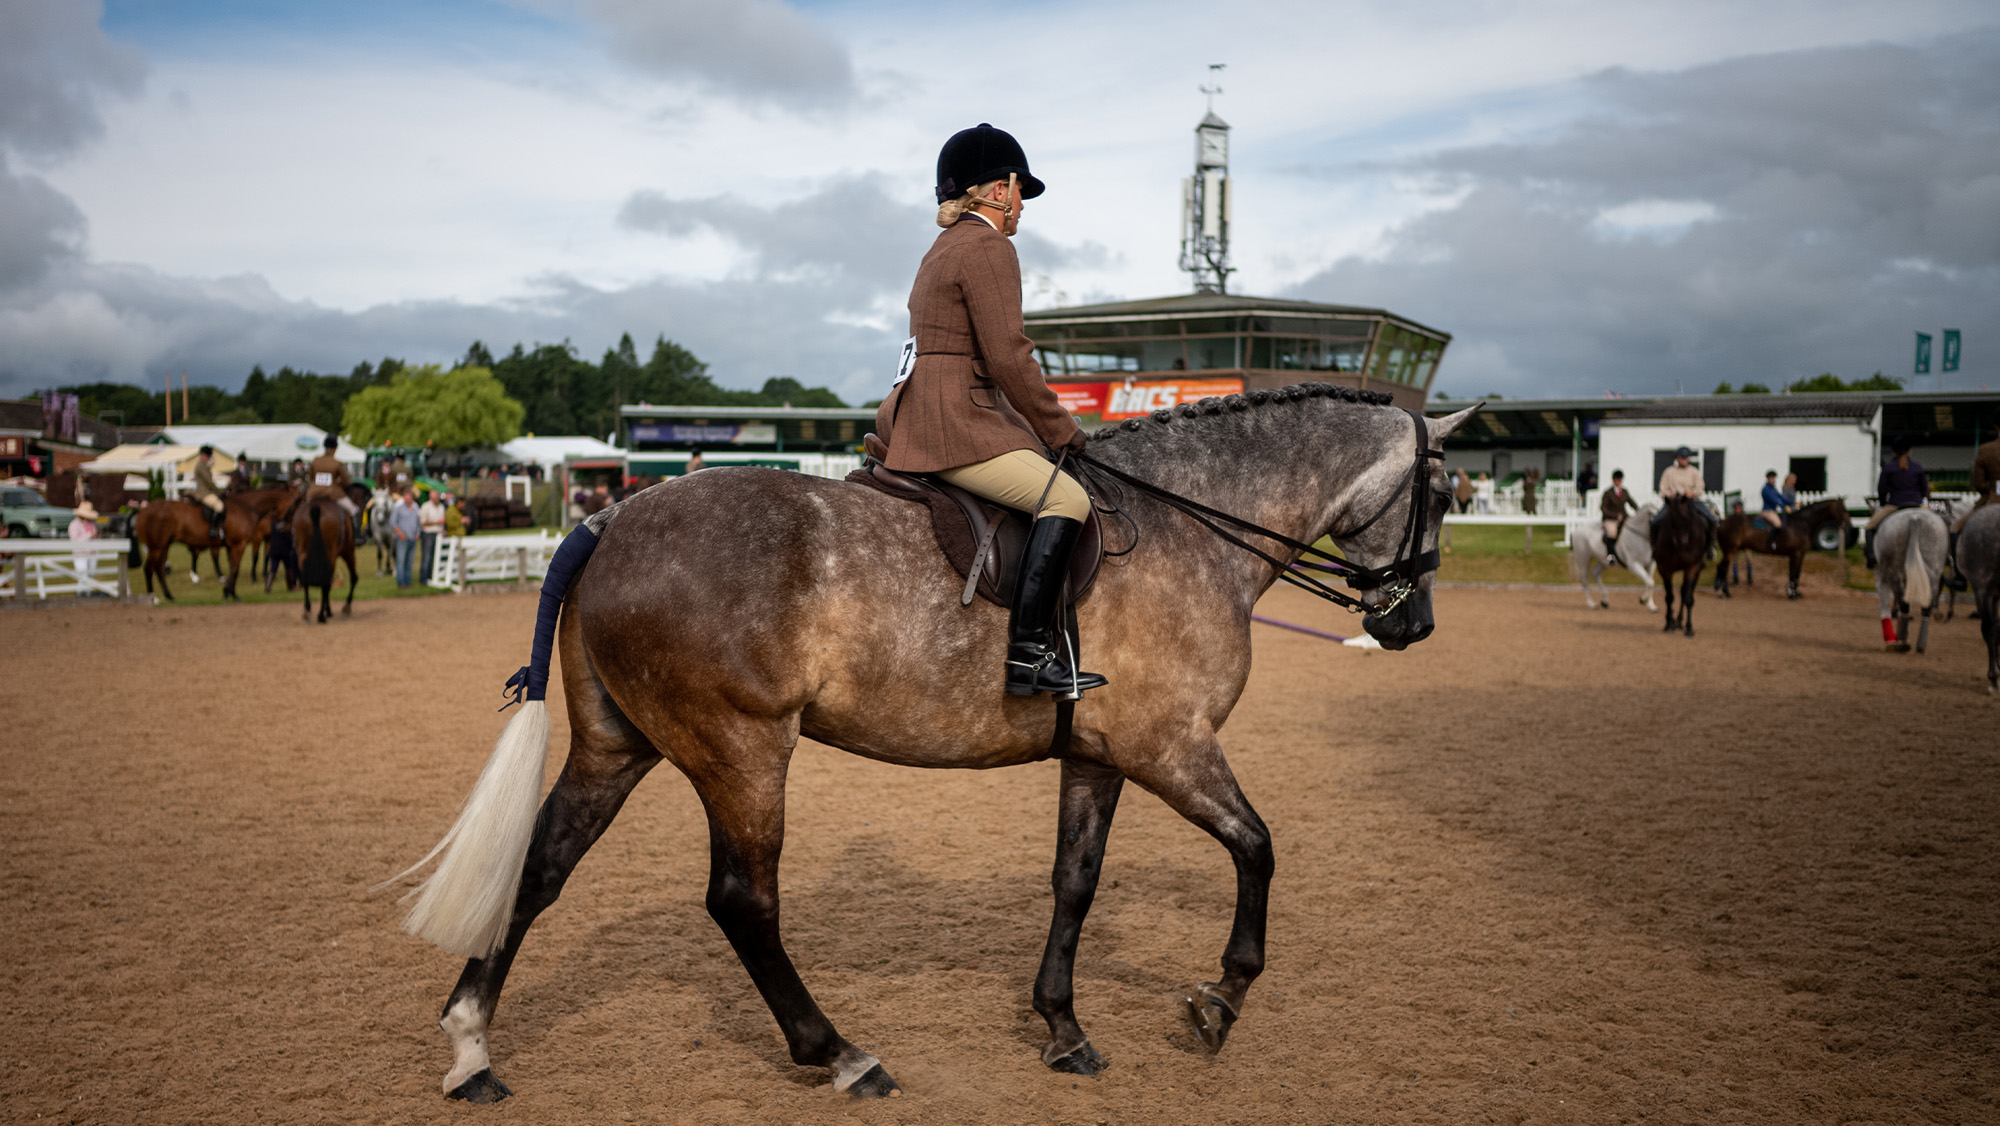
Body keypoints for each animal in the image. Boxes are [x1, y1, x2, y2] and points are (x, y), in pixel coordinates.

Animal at [383, 384, 1477, 1103]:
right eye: (1444, 490)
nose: (1412, 624)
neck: (1190, 528)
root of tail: (609, 519)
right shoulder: (1172, 745)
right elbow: (1257, 847)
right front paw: (1220, 998)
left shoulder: (1100, 755)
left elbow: (1074, 882)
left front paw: (1063, 1027)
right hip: (742, 750)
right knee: (742, 901)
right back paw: (840, 1054)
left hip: (620, 749)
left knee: (540, 868)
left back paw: (472, 1049)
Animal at [1650, 495, 1712, 636]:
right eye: (1671, 520)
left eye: (1686, 519)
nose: (1681, 544)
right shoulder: (1664, 569)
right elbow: (1669, 597)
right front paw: (1668, 624)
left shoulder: (1692, 568)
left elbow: (1688, 598)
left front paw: (1689, 628)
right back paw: (1676, 622)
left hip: (1696, 570)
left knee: (1686, 593)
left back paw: (1680, 622)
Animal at [1713, 498, 1851, 601]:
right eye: (1842, 509)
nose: (1849, 526)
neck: (1802, 523)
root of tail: (1721, 522)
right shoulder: (1796, 554)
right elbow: (1793, 574)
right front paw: (1792, 594)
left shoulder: (1800, 554)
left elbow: (1796, 574)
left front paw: (1795, 592)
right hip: (1730, 551)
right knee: (1723, 568)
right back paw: (1725, 593)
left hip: (1730, 551)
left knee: (1721, 567)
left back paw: (1721, 591)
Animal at [1871, 506, 1948, 654]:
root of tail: (1915, 518)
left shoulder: (1881, 577)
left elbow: (1885, 605)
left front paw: (1891, 640)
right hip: (1933, 571)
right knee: (1926, 606)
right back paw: (1920, 645)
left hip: (1893, 573)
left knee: (1904, 603)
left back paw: (1902, 642)